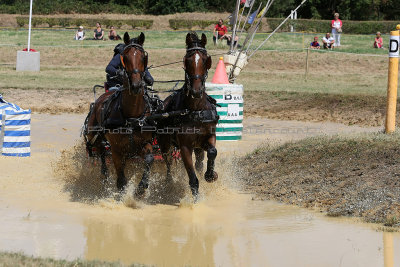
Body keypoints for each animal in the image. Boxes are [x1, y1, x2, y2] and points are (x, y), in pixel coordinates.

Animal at [84, 33, 153, 197]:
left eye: (143, 57)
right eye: (125, 57)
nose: (136, 85)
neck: (132, 115)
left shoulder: (144, 144)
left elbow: (149, 159)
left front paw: (142, 186)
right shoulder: (117, 150)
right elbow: (121, 180)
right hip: (94, 135)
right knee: (101, 152)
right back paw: (104, 176)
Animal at [158, 32, 219, 201]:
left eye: (205, 59)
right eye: (187, 60)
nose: (196, 91)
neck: (196, 110)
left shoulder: (209, 136)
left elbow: (212, 152)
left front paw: (211, 175)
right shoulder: (185, 147)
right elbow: (192, 179)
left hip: (197, 146)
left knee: (199, 160)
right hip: (165, 144)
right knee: (168, 161)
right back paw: (169, 182)